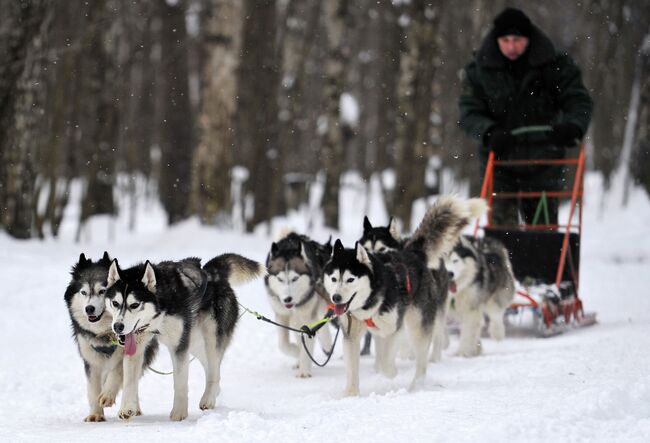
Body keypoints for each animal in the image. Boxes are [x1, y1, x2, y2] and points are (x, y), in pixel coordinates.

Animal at [63, 253, 157, 424]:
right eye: (84, 292)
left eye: (102, 291)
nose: (89, 309)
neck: (105, 334)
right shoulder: (90, 358)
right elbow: (93, 388)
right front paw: (95, 414)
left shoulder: (129, 351)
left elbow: (118, 372)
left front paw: (107, 394)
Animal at [105, 255, 262, 422]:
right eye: (115, 303)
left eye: (134, 305)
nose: (118, 326)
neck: (161, 307)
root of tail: (213, 272)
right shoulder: (137, 344)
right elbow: (129, 381)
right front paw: (127, 408)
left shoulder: (179, 346)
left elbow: (179, 382)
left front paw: (179, 413)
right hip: (194, 342)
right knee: (210, 367)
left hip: (210, 336)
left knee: (214, 369)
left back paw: (209, 398)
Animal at [264, 232, 334, 378]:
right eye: (280, 279)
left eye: (295, 278)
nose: (287, 299)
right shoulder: (281, 315)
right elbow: (283, 344)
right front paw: (298, 354)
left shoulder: (308, 314)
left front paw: (304, 370)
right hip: (295, 319)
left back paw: (327, 344)